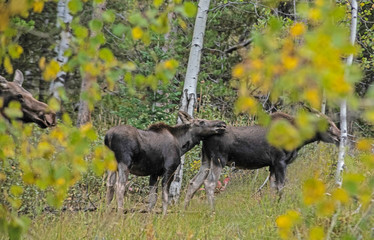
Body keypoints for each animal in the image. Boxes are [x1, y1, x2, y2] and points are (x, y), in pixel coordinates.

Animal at [185, 109, 342, 209]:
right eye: (328, 125)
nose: (340, 136)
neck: (299, 138)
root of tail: (204, 139)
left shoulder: (272, 165)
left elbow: (273, 188)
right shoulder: (280, 161)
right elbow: (281, 187)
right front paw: (279, 208)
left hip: (206, 160)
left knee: (194, 182)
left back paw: (183, 210)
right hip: (219, 159)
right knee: (209, 183)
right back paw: (212, 212)